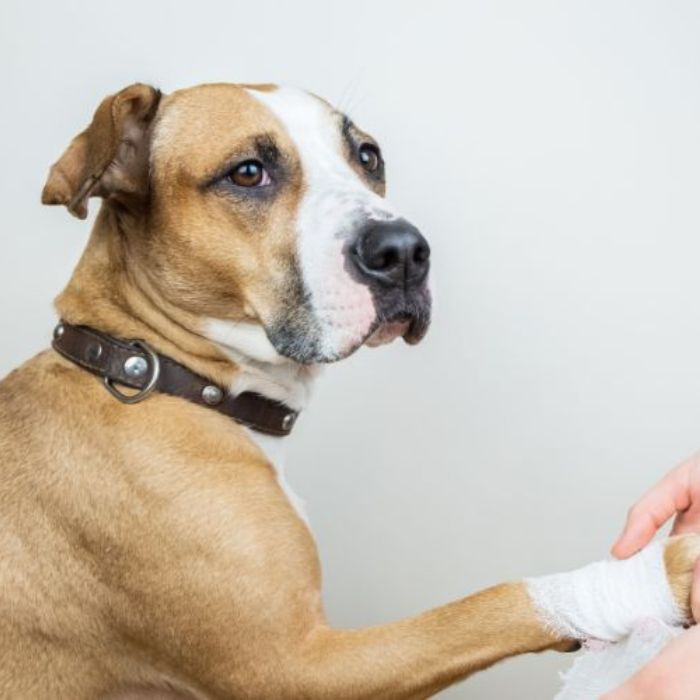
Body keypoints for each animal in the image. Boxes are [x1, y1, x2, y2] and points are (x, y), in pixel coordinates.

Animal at [0, 83, 696, 700]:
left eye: (367, 156)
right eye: (247, 172)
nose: (405, 251)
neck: (153, 371)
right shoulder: (294, 667)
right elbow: (486, 604)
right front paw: (661, 574)